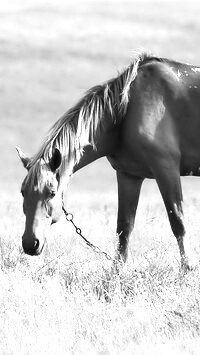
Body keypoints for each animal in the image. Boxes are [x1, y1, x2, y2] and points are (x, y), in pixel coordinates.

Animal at [16, 53, 200, 270]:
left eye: (52, 193)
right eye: (23, 192)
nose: (30, 243)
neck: (127, 109)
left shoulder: (166, 169)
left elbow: (178, 222)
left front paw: (187, 269)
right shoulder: (129, 175)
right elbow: (124, 228)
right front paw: (116, 272)